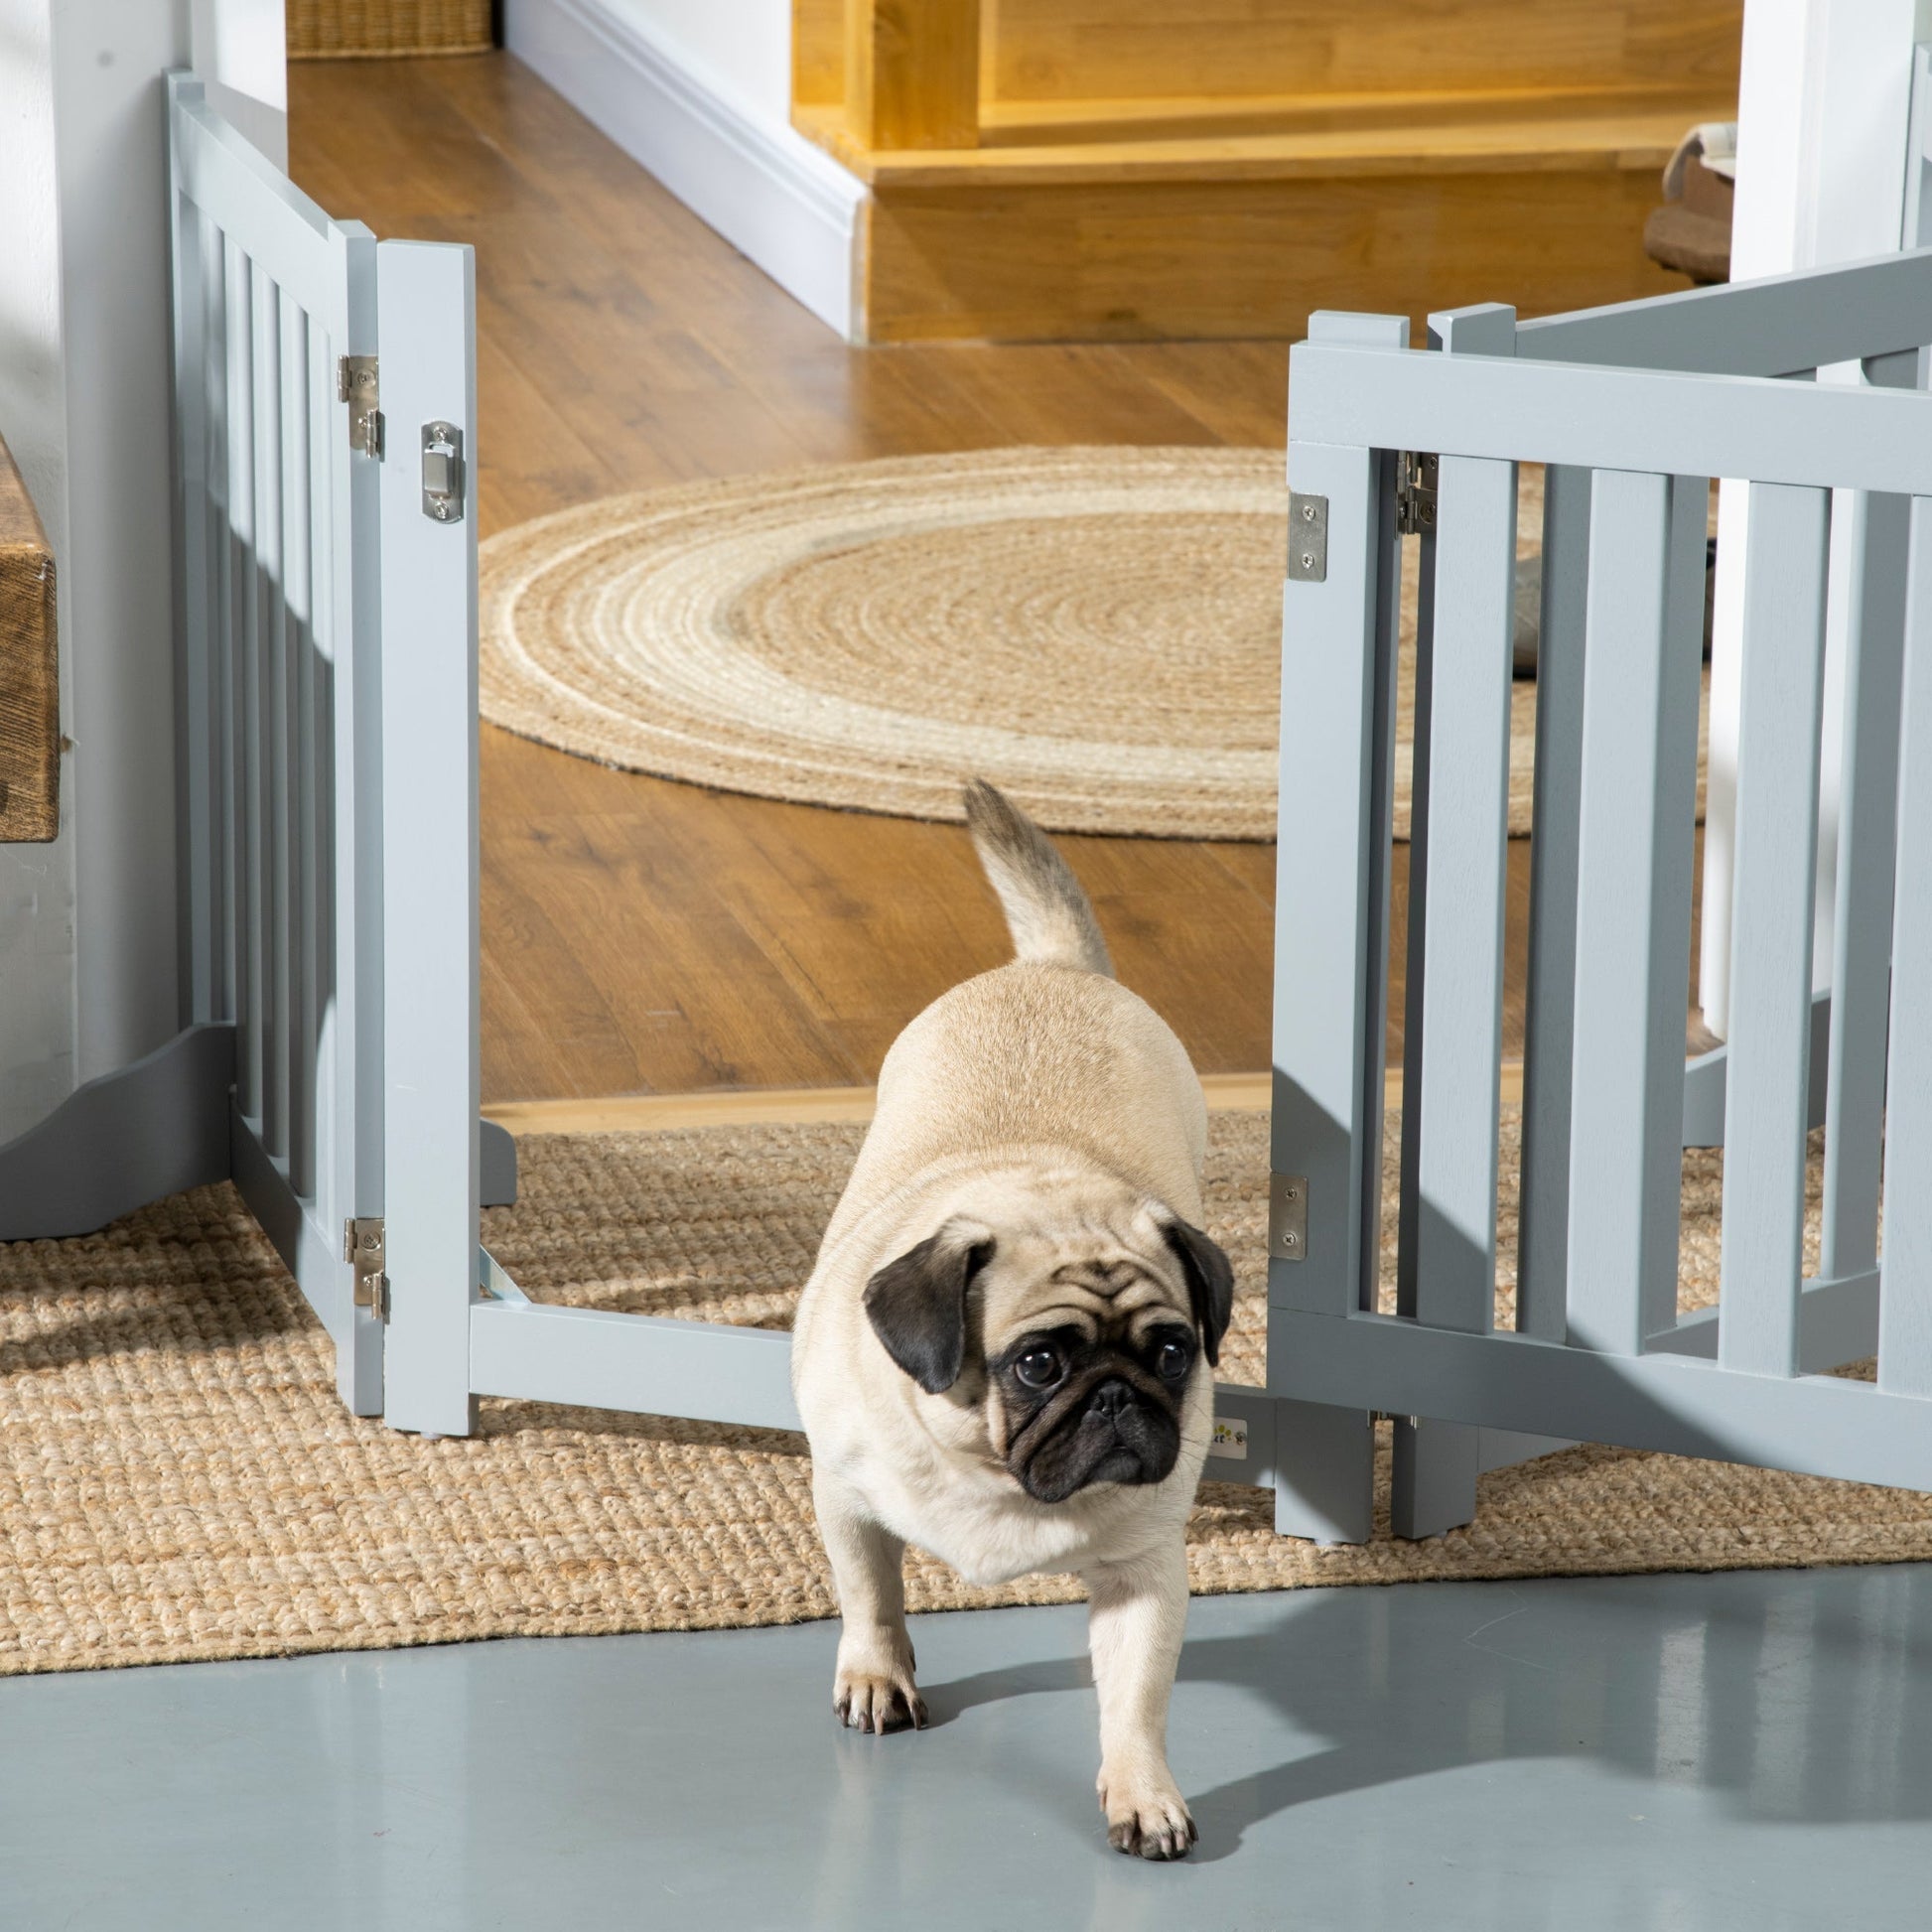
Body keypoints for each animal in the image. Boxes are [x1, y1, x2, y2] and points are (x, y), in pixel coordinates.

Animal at [787, 776, 1228, 1862]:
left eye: (1172, 1351)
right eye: (1037, 1363)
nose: (1116, 1394)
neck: (999, 1482)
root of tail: (1053, 967)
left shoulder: (1146, 1573)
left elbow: (1136, 1700)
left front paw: (1141, 1791)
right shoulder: (845, 1501)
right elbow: (870, 1593)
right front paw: (877, 1672)